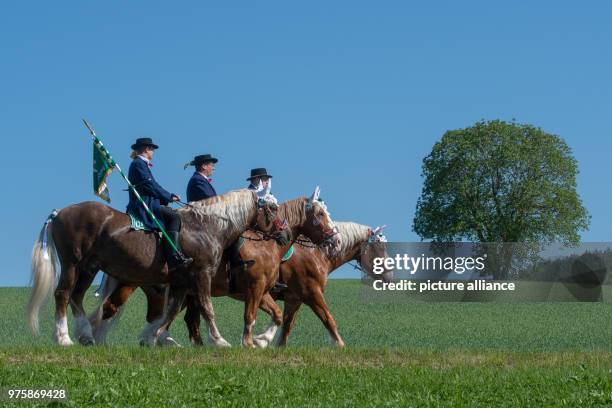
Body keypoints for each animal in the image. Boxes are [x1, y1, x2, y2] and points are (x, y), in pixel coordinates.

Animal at [26, 187, 280, 344]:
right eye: (273, 208)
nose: (283, 233)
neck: (206, 227)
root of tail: (60, 212)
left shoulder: (181, 281)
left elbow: (171, 311)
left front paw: (152, 337)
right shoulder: (202, 274)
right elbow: (207, 308)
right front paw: (220, 341)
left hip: (90, 268)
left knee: (77, 297)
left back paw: (87, 335)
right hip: (73, 264)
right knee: (63, 294)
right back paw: (64, 338)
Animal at [91, 190, 342, 346]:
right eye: (320, 213)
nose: (336, 240)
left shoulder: (264, 291)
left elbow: (278, 316)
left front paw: (261, 340)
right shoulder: (261, 288)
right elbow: (251, 315)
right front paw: (249, 342)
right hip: (139, 284)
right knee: (114, 308)